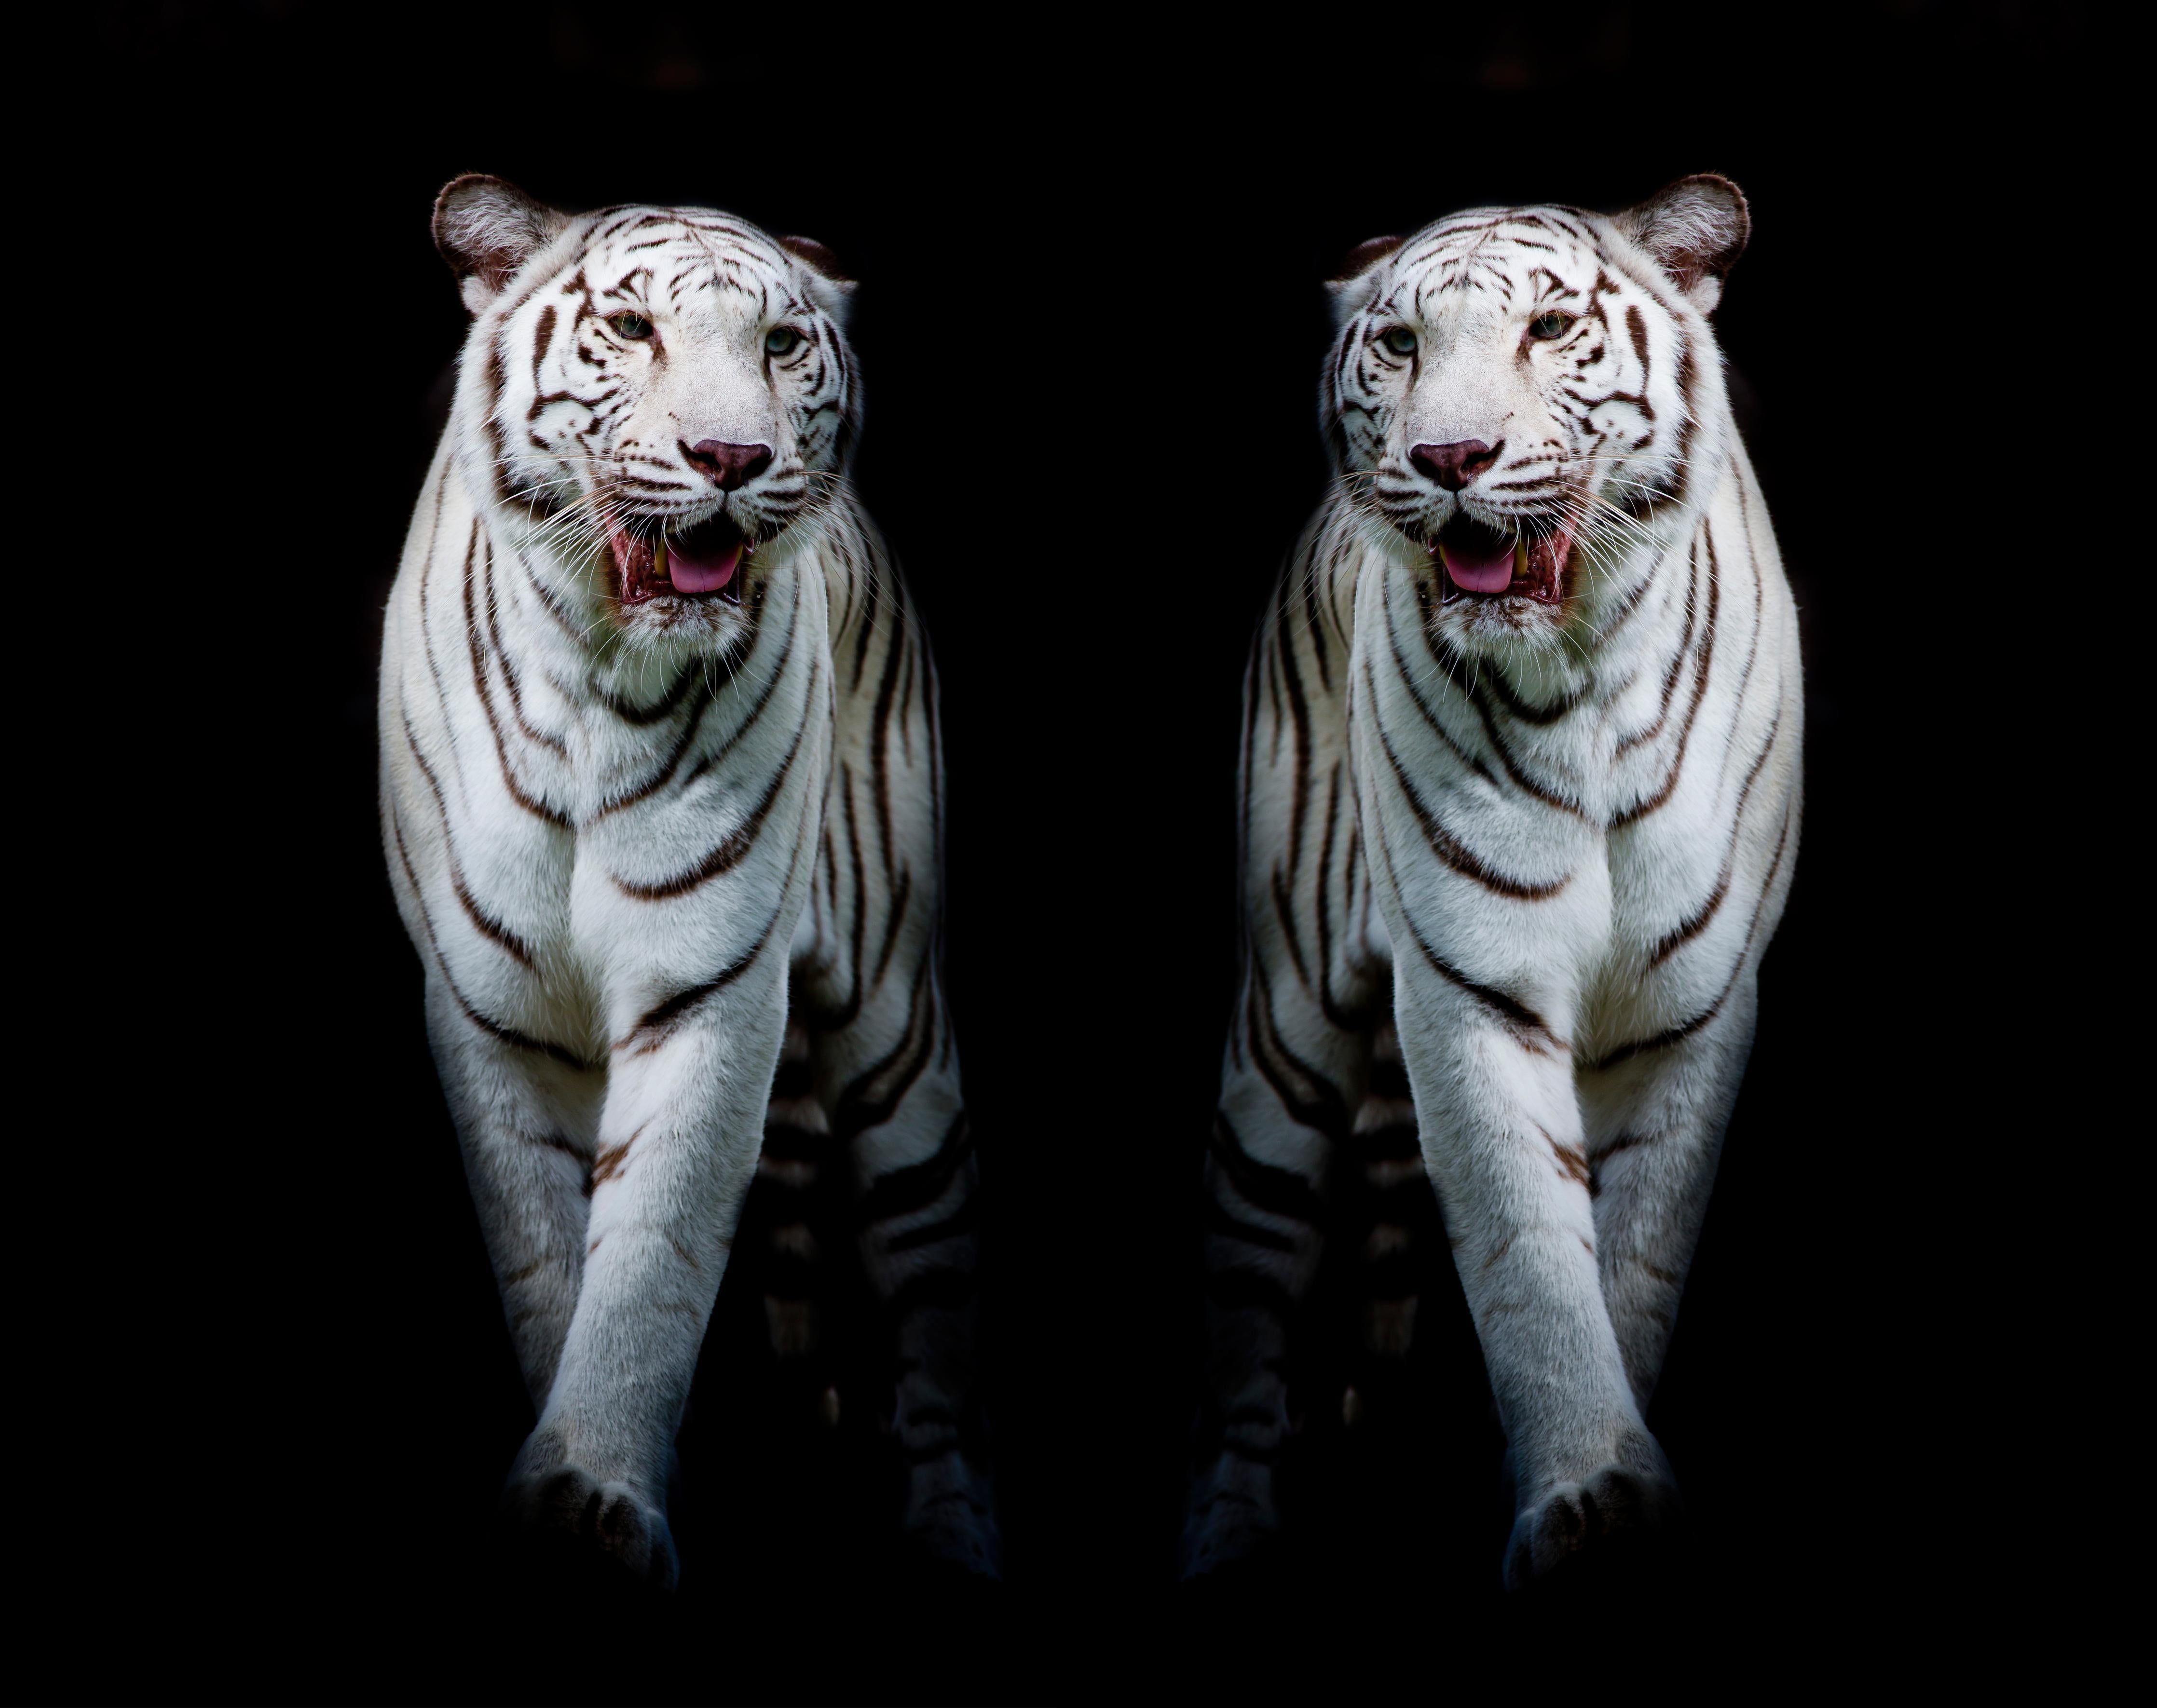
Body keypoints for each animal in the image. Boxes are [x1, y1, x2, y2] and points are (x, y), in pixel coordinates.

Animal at [378, 175, 994, 1587]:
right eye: (630, 328)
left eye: (779, 345)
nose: (730, 458)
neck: (598, 676)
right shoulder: (489, 1008)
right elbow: (548, 1259)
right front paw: (566, 1492)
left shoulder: (710, 984)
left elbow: (653, 1251)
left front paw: (595, 1490)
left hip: (895, 1030)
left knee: (933, 1294)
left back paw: (952, 1533)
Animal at [1185, 175, 1802, 1589]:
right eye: (1400, 345)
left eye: (1551, 328)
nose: (1450, 458)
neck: (1583, 679)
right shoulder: (1470, 984)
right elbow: (1527, 1253)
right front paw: (1586, 1493)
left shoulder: (1692, 1006)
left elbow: (1631, 1260)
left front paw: (1611, 1493)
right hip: (1284, 1031)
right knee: (1248, 1299)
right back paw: (1228, 1532)